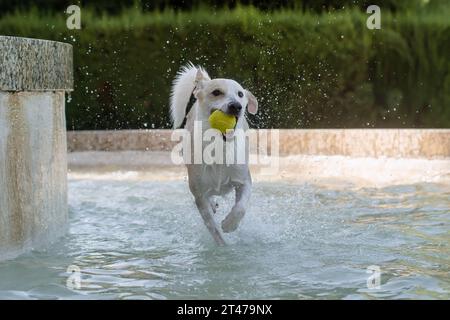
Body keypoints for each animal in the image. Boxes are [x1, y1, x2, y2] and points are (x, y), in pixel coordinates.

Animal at [171, 64, 258, 245]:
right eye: (216, 92)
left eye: (240, 94)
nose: (236, 106)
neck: (218, 146)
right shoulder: (199, 194)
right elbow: (212, 227)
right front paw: (223, 246)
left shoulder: (244, 180)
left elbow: (241, 207)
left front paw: (230, 224)